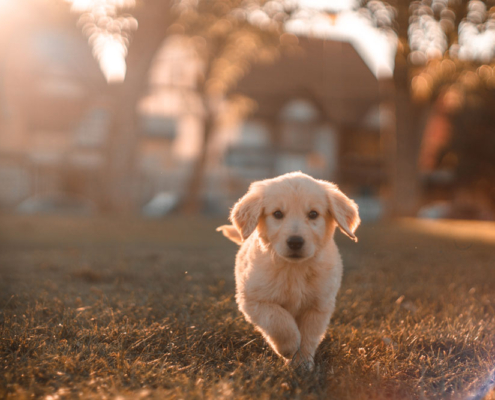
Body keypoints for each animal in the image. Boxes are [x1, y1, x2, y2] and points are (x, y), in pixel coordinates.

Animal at [217, 172, 360, 368]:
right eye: (277, 214)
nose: (295, 242)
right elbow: (278, 320)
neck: (294, 269)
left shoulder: (319, 305)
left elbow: (309, 336)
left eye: (313, 214)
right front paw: (289, 347)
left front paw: (302, 363)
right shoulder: (253, 299)